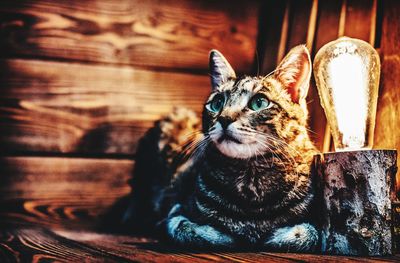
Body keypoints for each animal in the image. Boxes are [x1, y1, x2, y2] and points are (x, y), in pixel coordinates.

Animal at [123, 44, 320, 252]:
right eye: (217, 103)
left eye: (259, 102)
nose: (224, 118)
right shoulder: (173, 212)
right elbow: (188, 229)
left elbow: (306, 234)